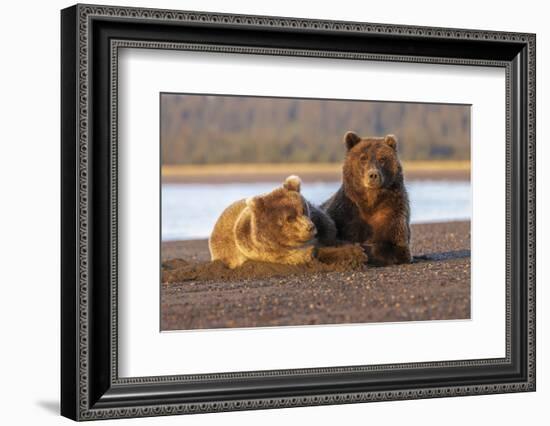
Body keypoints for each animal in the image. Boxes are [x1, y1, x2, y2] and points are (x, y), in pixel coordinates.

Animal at [326, 131, 412, 264]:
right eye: (363, 158)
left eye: (382, 159)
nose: (373, 175)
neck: (370, 201)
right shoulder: (345, 213)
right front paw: (355, 251)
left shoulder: (392, 211)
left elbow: (396, 246)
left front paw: (365, 249)